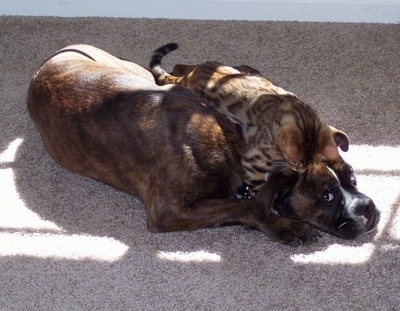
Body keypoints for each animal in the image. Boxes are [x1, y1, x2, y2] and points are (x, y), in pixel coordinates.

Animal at [148, 43, 348, 196]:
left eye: (309, 164)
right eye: (296, 163)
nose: (300, 171)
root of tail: (193, 75)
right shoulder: (255, 162)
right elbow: (258, 188)